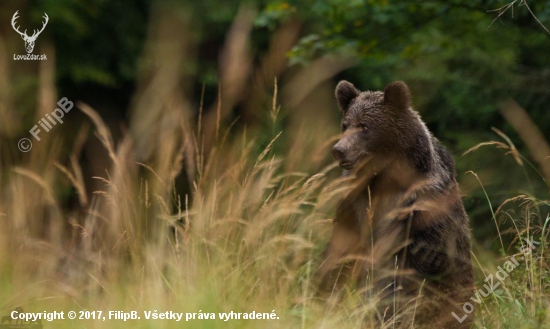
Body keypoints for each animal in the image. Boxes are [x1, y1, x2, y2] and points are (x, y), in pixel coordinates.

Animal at [320, 80, 478, 326]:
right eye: (345, 124)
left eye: (364, 126)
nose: (339, 150)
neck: (383, 179)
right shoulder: (354, 202)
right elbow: (342, 250)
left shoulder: (420, 205)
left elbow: (410, 266)